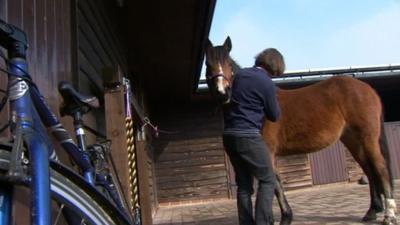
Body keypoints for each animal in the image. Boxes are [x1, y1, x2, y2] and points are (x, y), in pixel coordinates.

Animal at [206, 37, 396, 225]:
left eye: (229, 65)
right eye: (208, 65)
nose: (223, 93)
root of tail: (368, 89)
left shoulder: (268, 152)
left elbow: (275, 184)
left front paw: (286, 217)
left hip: (368, 138)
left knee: (380, 169)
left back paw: (389, 215)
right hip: (353, 140)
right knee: (369, 169)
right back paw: (372, 211)